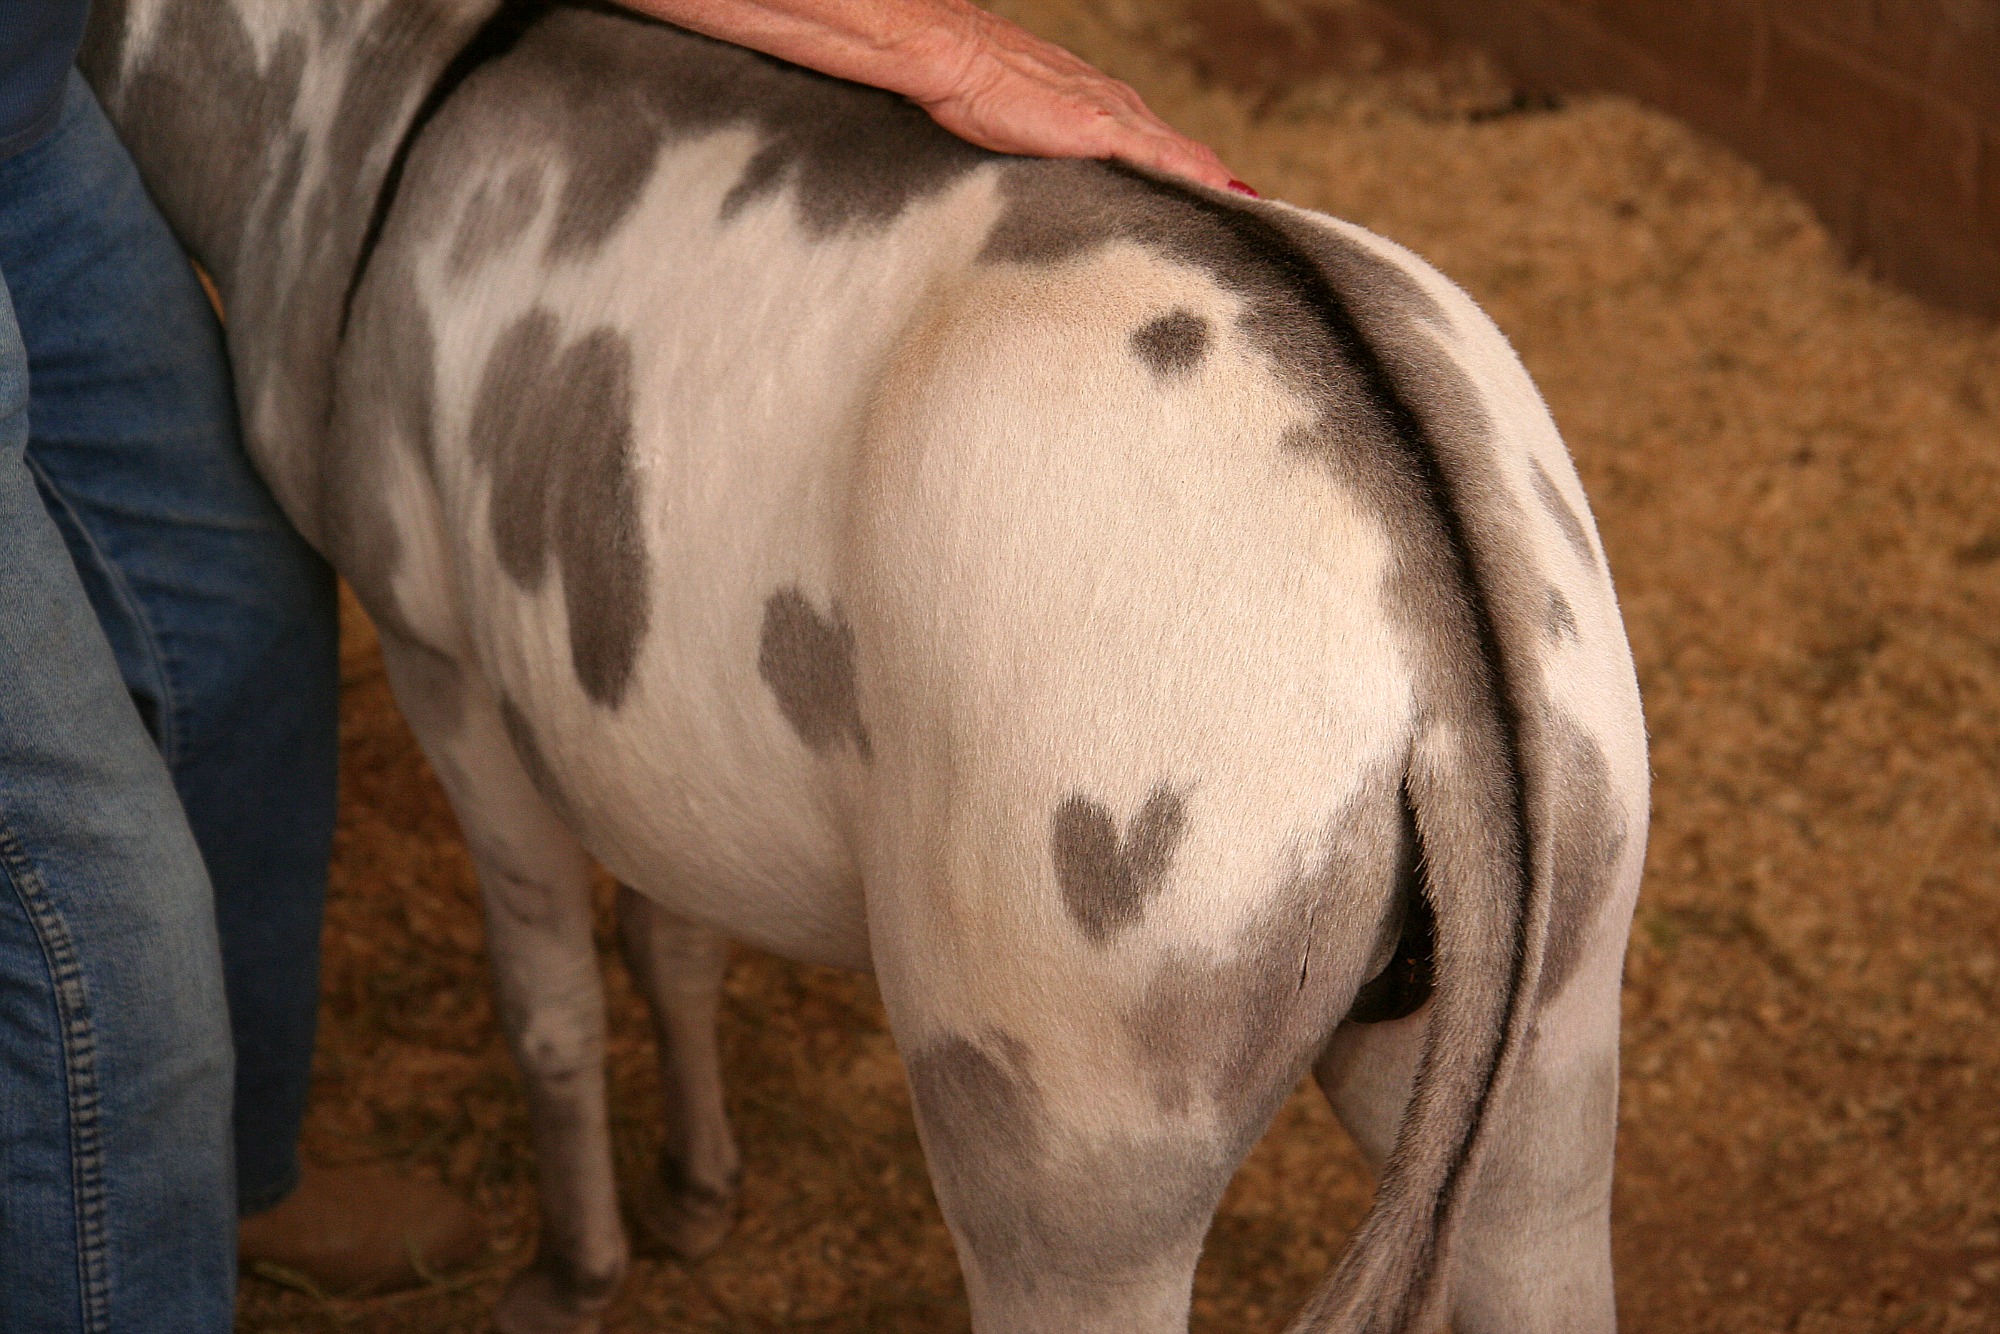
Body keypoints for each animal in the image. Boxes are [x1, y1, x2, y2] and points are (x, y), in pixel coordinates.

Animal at [79, 2, 1649, 1330]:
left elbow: (548, 1000)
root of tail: (1421, 602)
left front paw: (574, 1272)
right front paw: (697, 1194)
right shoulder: (637, 690)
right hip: (1549, 1052)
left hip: (1067, 1115)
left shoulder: (439, 658)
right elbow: (674, 933)